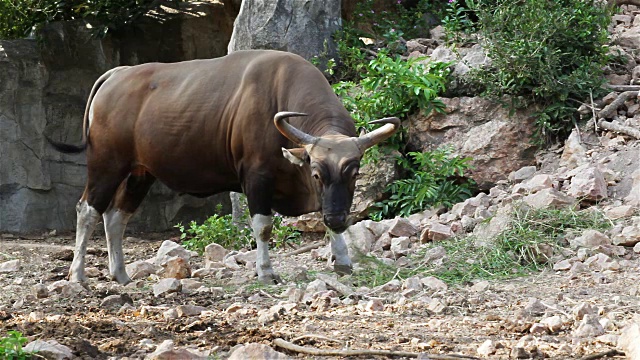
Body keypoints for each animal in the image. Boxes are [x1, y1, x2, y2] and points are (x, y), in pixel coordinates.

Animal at [50, 50, 398, 284]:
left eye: (355, 173)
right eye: (316, 173)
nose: (338, 218)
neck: (280, 92)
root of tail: (115, 75)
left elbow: (321, 218)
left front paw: (342, 260)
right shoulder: (256, 177)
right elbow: (263, 226)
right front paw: (266, 272)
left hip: (140, 173)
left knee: (115, 216)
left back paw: (121, 275)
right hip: (106, 164)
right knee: (88, 209)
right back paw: (78, 275)